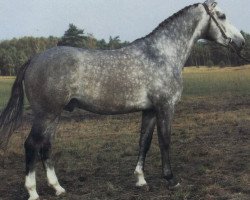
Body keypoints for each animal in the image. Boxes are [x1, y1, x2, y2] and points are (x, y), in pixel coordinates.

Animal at [0, 0, 245, 199]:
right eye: (222, 15)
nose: (241, 41)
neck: (161, 54)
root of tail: (34, 58)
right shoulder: (165, 107)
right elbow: (165, 141)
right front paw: (171, 179)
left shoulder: (150, 110)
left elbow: (144, 142)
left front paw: (141, 180)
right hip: (46, 114)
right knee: (32, 145)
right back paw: (33, 192)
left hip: (54, 115)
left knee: (46, 146)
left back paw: (58, 188)